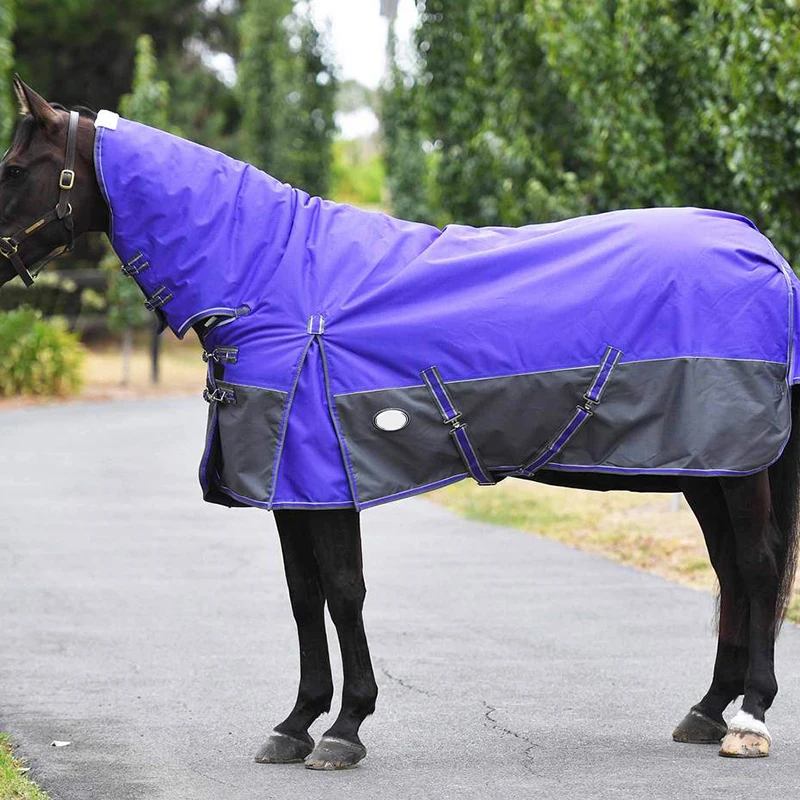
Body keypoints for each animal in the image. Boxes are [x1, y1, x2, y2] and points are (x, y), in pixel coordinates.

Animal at [1, 77, 799, 770]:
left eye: (15, 168)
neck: (275, 282)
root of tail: (762, 251)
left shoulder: (327, 479)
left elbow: (343, 590)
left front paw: (345, 728)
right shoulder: (294, 489)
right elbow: (305, 595)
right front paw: (296, 723)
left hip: (738, 468)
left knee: (758, 568)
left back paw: (751, 720)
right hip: (707, 468)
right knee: (731, 571)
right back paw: (708, 711)